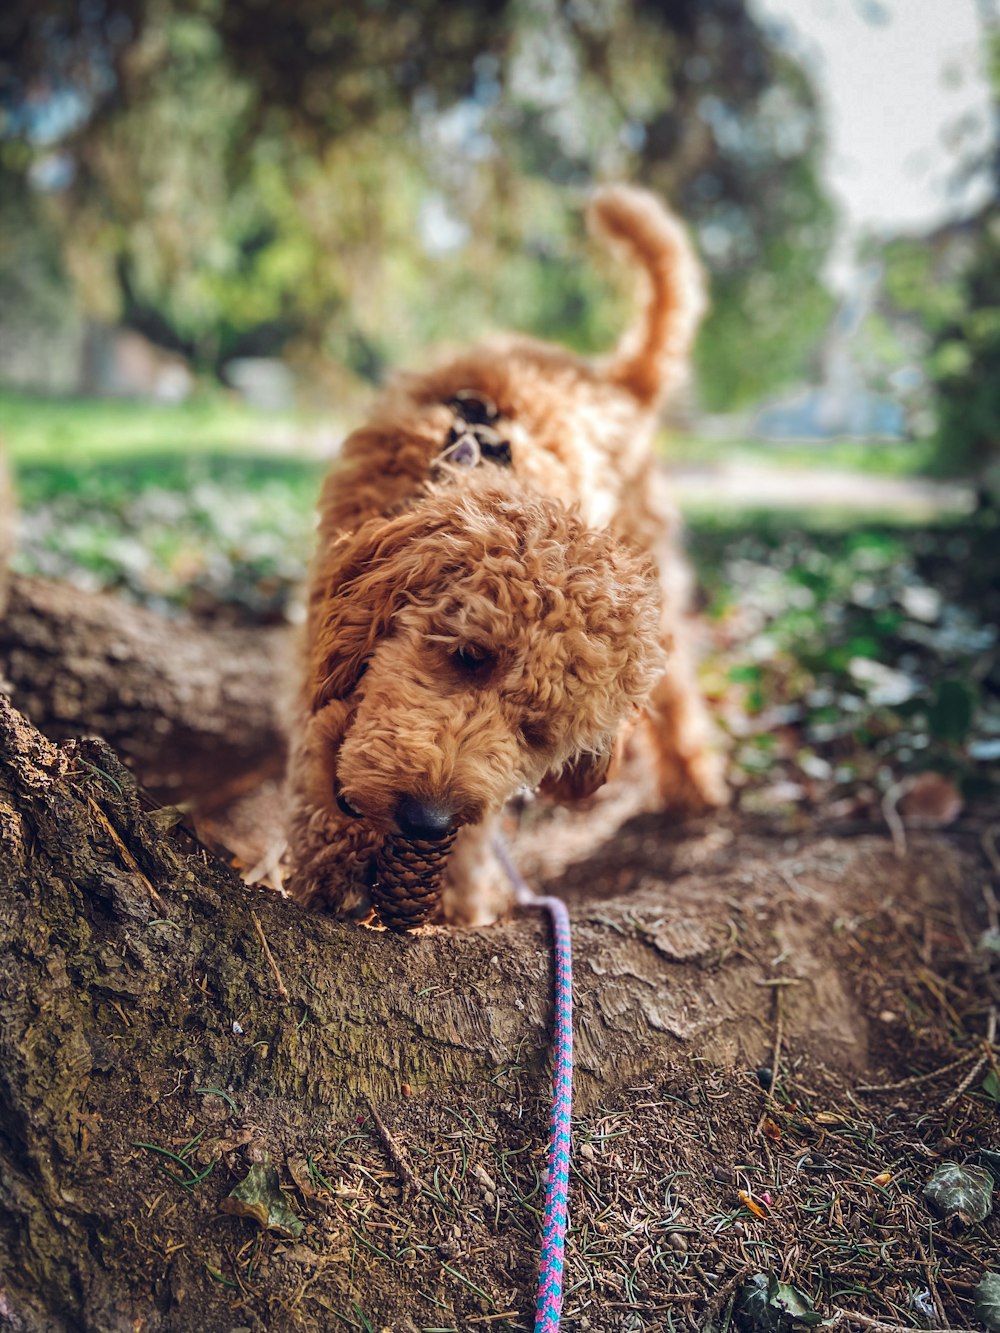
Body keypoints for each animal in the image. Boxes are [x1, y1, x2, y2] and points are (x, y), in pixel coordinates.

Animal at [285, 182, 725, 922]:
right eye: (468, 655)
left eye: (541, 732)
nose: (426, 820)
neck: (468, 461)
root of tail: (611, 382)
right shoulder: (329, 624)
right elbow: (320, 738)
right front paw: (333, 853)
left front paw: (450, 904)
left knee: (680, 699)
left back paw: (698, 786)